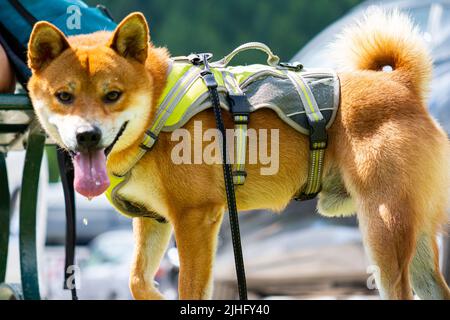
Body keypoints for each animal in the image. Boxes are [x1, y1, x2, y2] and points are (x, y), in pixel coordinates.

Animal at [28, 10, 450, 300]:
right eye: (64, 96)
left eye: (112, 95)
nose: (86, 136)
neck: (156, 107)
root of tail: (400, 84)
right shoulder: (154, 221)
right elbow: (136, 280)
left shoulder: (196, 218)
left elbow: (190, 288)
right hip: (413, 235)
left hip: (383, 229)